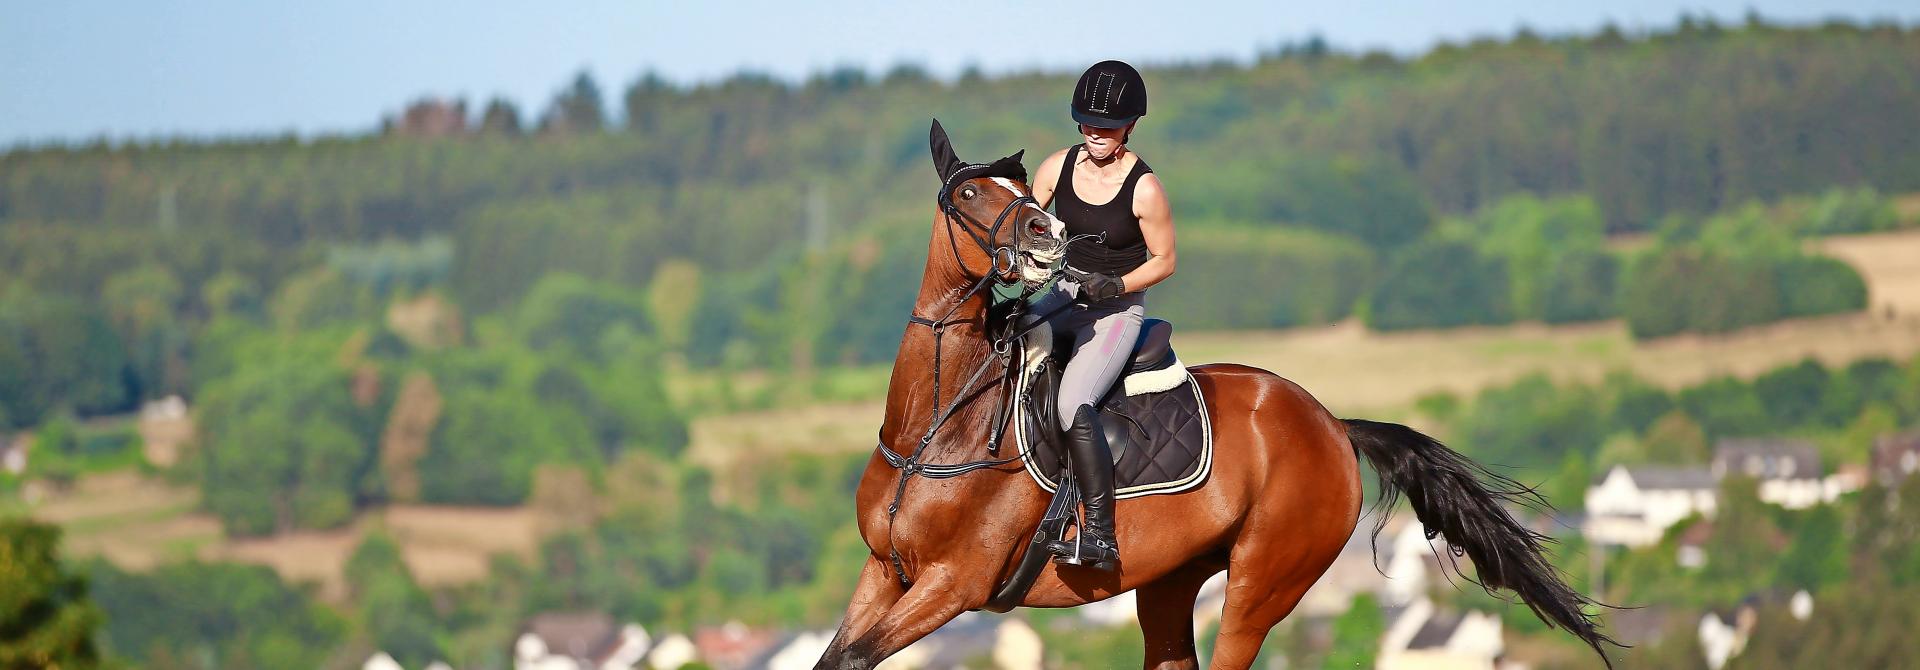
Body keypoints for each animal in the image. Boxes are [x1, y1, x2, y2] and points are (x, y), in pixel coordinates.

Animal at [813, 121, 1617, 670]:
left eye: (1027, 197)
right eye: (972, 192)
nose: (1047, 238)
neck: (937, 429)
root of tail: (1331, 424)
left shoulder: (955, 583)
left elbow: (854, 657)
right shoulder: (885, 572)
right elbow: (836, 656)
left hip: (1263, 581)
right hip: (1173, 579)